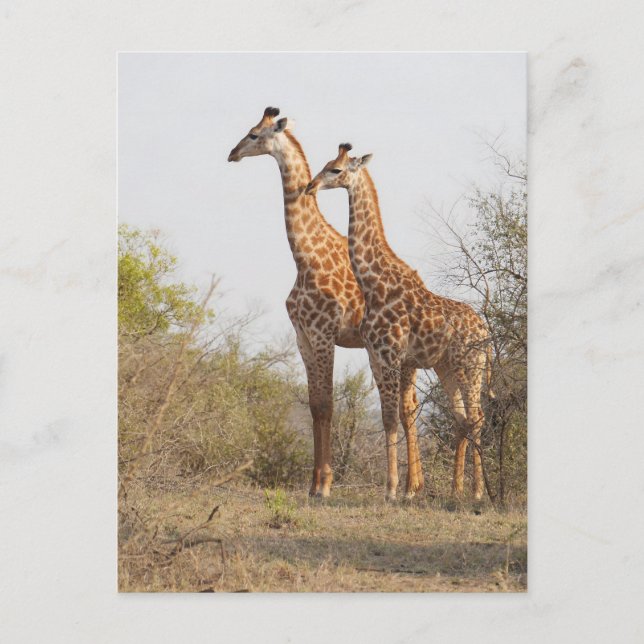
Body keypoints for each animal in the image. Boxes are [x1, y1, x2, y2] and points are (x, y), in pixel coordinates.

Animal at [228, 109, 425, 497]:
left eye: (254, 134)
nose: (232, 153)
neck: (304, 257)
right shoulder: (302, 336)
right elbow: (315, 405)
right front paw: (313, 483)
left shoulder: (323, 334)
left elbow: (329, 404)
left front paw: (325, 485)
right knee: (407, 406)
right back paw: (416, 484)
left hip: (398, 354)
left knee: (408, 407)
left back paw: (411, 486)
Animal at [306, 144, 493, 500]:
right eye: (325, 164)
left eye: (336, 169)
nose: (310, 186)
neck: (373, 282)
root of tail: (487, 333)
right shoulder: (376, 357)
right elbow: (386, 417)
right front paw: (400, 489)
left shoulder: (391, 355)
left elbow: (393, 419)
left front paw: (392, 490)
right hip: (447, 368)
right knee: (463, 418)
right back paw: (456, 490)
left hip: (471, 366)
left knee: (477, 417)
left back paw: (478, 492)